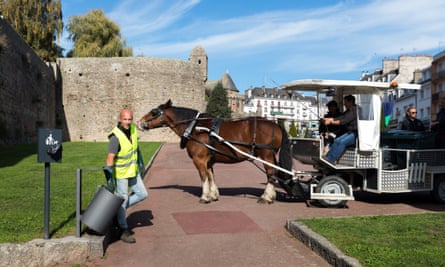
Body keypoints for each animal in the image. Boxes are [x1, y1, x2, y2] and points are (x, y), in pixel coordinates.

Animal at [136, 100, 302, 203]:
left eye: (154, 112)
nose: (139, 122)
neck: (195, 127)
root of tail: (275, 124)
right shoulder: (208, 160)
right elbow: (211, 177)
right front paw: (213, 195)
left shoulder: (199, 159)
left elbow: (203, 177)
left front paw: (204, 197)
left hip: (266, 155)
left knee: (271, 174)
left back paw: (266, 197)